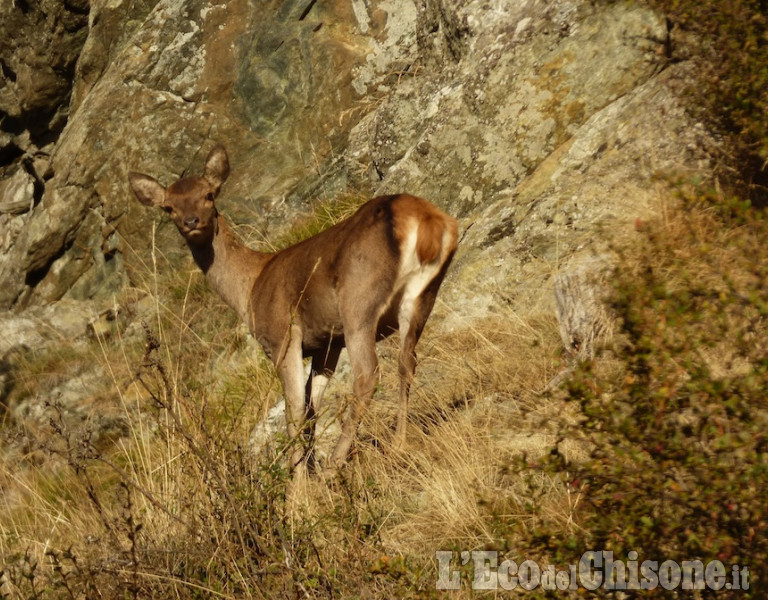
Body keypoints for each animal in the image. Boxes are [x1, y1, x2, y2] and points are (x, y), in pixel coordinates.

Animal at [129, 143, 460, 476]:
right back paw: (398, 445)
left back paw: (335, 465)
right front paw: (307, 468)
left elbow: (294, 410)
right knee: (407, 361)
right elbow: (312, 407)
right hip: (423, 295)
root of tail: (427, 221)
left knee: (368, 374)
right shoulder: (327, 343)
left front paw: (297, 482)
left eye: (209, 194)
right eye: (169, 207)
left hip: (358, 300)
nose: (191, 221)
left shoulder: (282, 337)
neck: (250, 288)